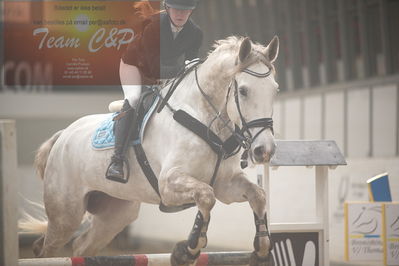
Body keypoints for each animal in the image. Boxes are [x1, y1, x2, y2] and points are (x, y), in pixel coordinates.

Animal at [25, 35, 282, 266]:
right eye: (244, 91)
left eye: (275, 90)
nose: (264, 150)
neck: (206, 120)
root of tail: (62, 136)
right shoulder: (169, 184)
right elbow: (206, 197)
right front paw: (188, 250)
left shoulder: (225, 185)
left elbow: (257, 195)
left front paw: (261, 249)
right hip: (65, 215)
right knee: (46, 248)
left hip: (116, 214)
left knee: (82, 247)